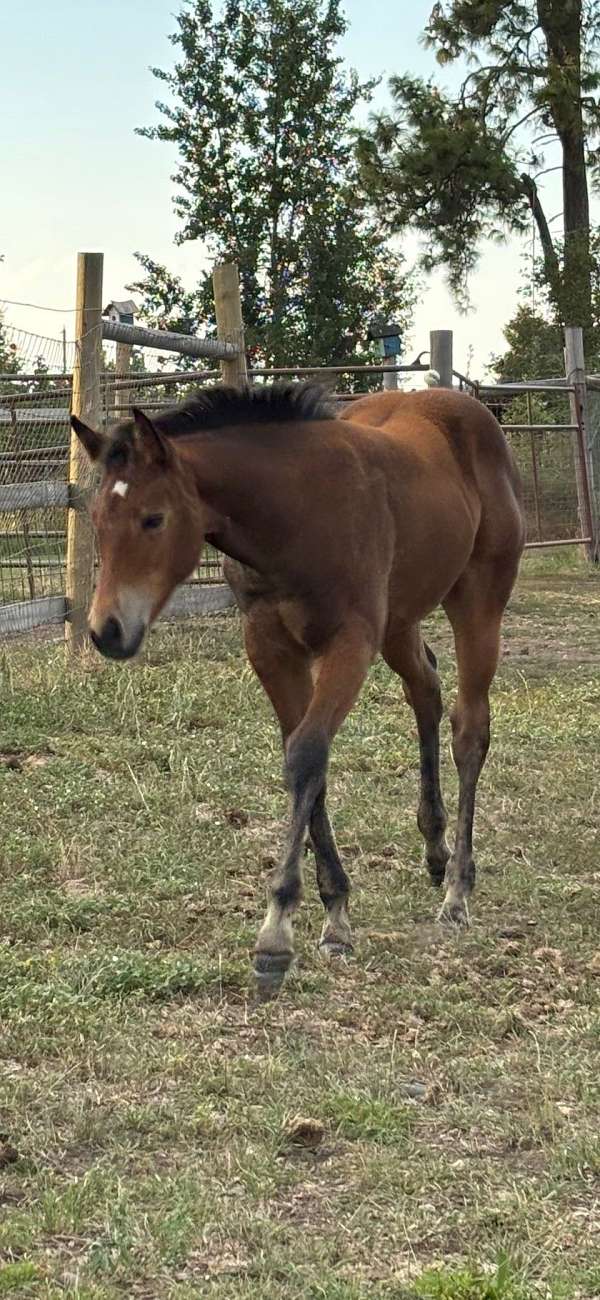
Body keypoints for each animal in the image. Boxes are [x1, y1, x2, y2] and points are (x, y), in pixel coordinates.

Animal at [71, 381, 525, 994]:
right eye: (96, 518)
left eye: (153, 519)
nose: (107, 631)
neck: (294, 514)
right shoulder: (271, 648)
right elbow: (307, 765)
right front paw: (336, 913)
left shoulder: (350, 643)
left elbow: (308, 755)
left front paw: (276, 934)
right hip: (400, 622)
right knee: (426, 691)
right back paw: (434, 849)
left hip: (476, 601)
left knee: (468, 729)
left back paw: (457, 890)